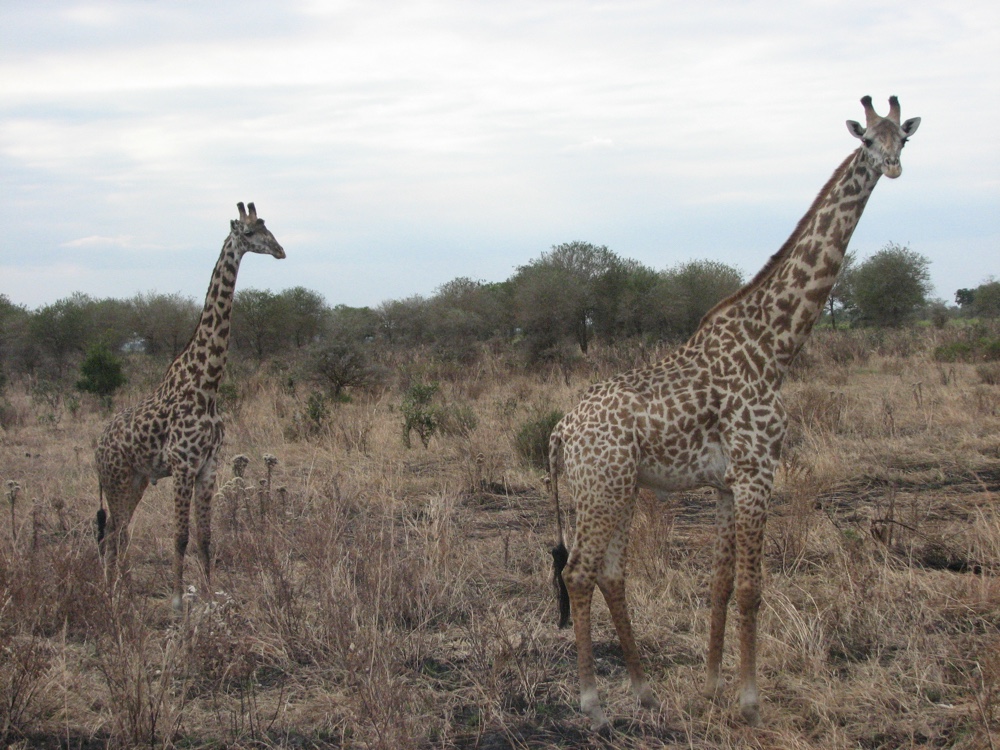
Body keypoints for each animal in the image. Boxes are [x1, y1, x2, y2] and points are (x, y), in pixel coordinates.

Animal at [94, 204, 286, 612]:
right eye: (249, 233)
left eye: (268, 227)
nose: (280, 251)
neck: (206, 385)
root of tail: (96, 448)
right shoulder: (183, 466)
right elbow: (180, 537)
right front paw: (178, 601)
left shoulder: (209, 466)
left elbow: (205, 537)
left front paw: (211, 596)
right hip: (116, 479)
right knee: (112, 534)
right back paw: (112, 593)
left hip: (134, 480)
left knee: (119, 532)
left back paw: (125, 591)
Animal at [548, 95, 920, 728]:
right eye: (868, 139)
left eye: (906, 137)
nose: (892, 167)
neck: (774, 346)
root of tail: (560, 431)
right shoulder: (756, 472)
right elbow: (751, 587)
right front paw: (749, 701)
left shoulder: (726, 484)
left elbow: (720, 584)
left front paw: (712, 685)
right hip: (600, 487)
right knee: (578, 573)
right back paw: (593, 705)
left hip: (617, 488)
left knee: (610, 574)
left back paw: (645, 692)